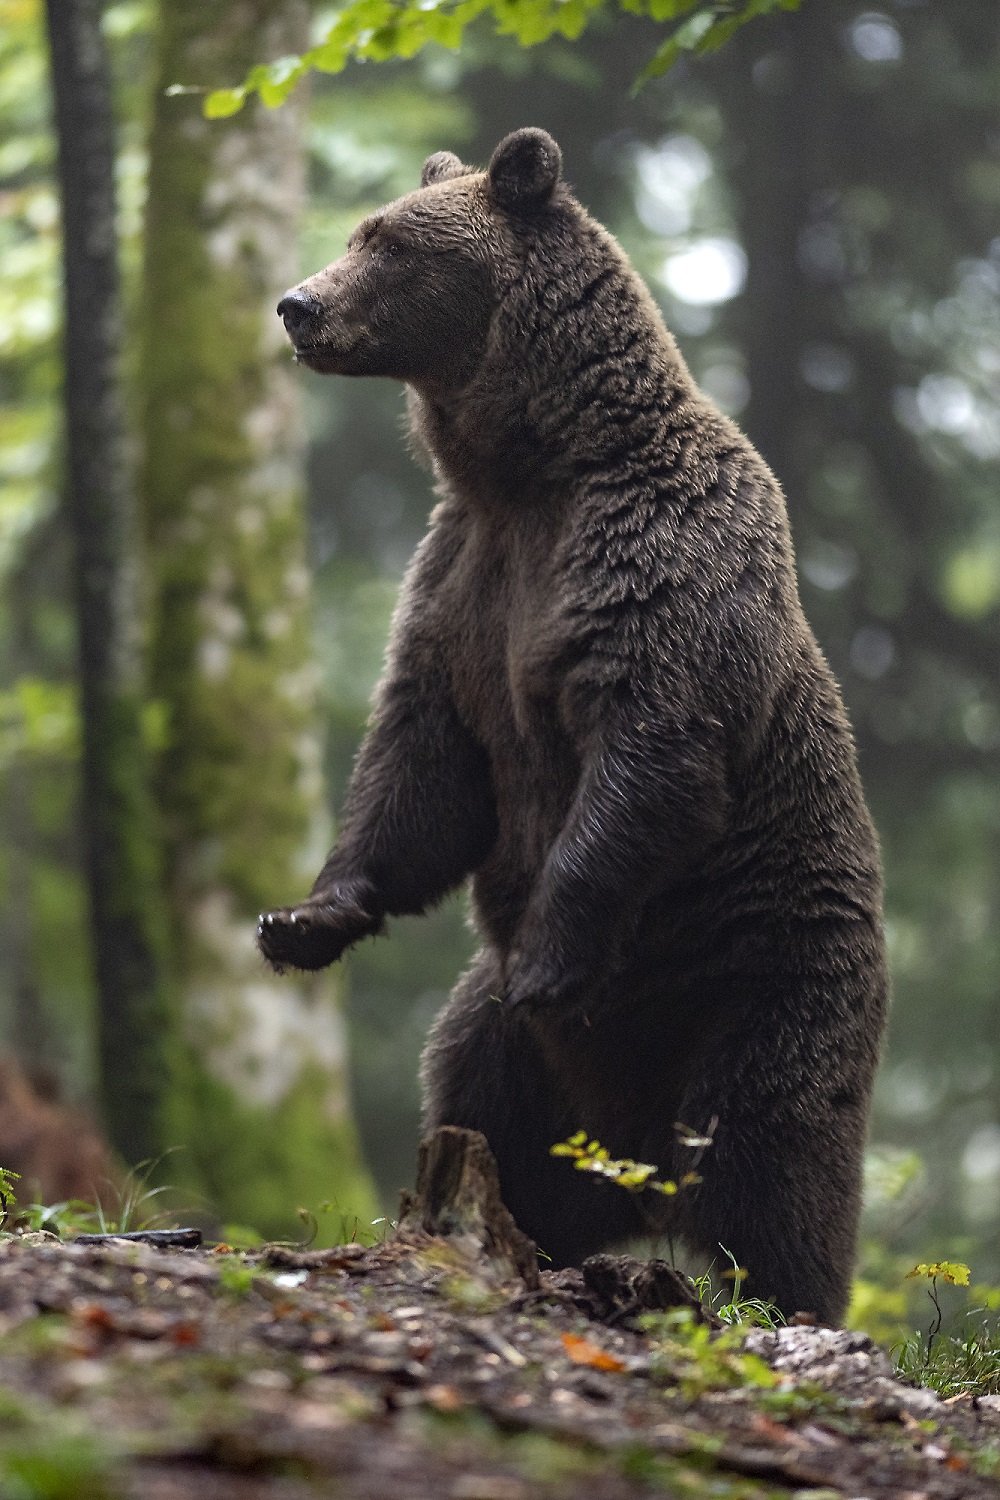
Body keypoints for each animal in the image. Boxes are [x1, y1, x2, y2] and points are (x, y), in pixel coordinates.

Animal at [262, 129, 887, 1326]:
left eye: (389, 243)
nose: (297, 304)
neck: (532, 470)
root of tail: (630, 1150)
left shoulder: (653, 564)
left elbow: (647, 752)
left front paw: (553, 958)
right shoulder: (461, 582)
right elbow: (423, 766)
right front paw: (304, 919)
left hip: (761, 982)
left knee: (772, 1160)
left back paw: (776, 1301)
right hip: (507, 1054)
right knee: (485, 1109)